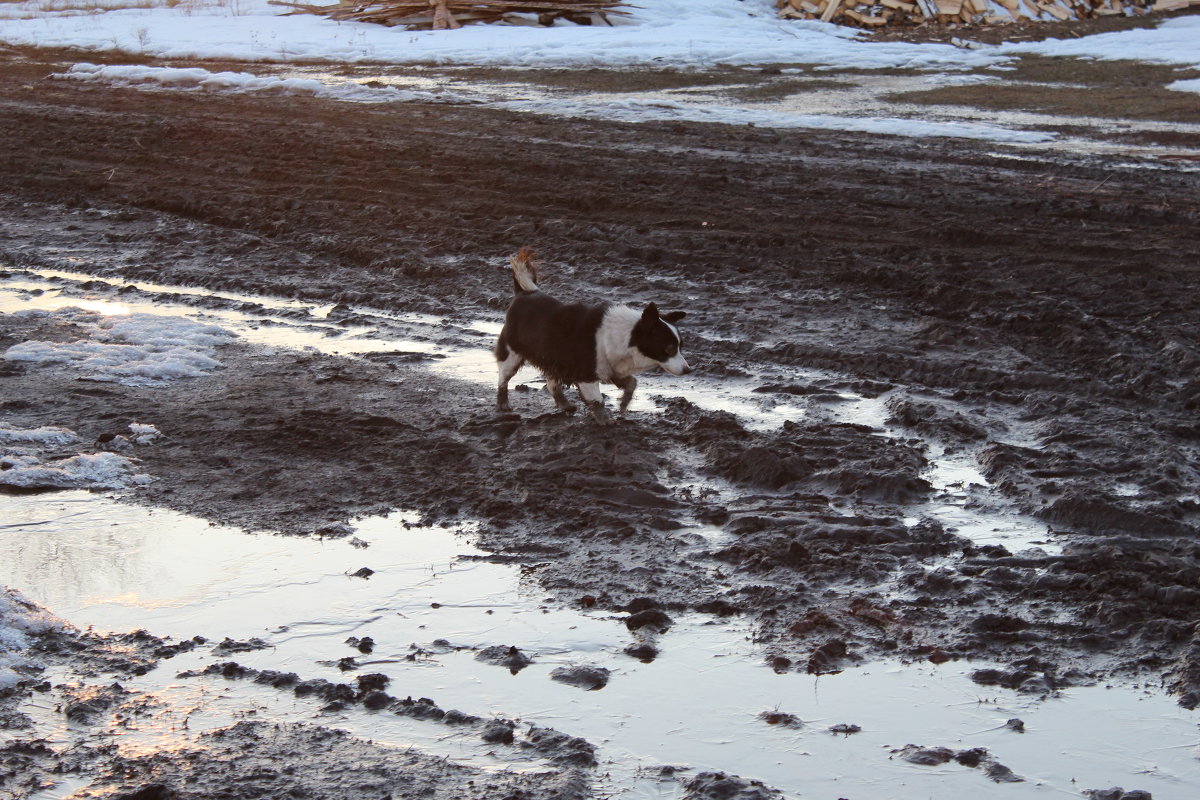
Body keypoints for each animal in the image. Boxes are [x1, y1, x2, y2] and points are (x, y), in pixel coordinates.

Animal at [492, 248, 691, 424]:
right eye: (669, 349)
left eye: (680, 347)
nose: (688, 370)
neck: (628, 336)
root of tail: (525, 292)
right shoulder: (586, 374)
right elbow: (597, 400)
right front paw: (606, 420)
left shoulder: (610, 369)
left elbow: (632, 383)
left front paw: (623, 403)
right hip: (512, 354)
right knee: (503, 378)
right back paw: (503, 404)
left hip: (552, 357)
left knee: (552, 384)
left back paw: (565, 405)